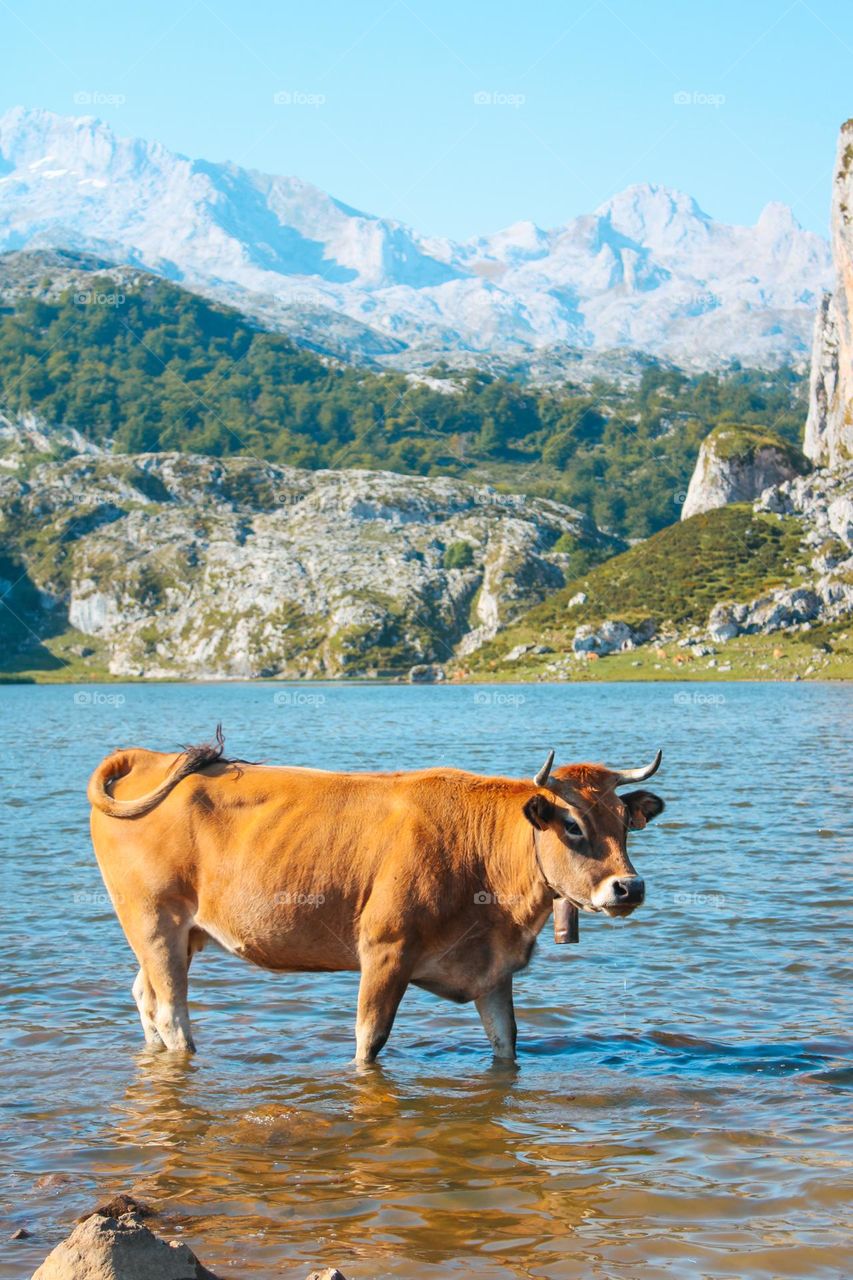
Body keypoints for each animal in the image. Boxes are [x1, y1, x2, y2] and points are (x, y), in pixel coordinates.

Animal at [87, 730, 664, 1063]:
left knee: (144, 997)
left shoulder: (492, 967)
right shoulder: (385, 951)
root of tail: (151, 756)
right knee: (171, 1013)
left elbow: (507, 1043)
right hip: (154, 921)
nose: (629, 887)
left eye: (623, 820)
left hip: (181, 935)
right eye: (571, 824)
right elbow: (370, 1041)